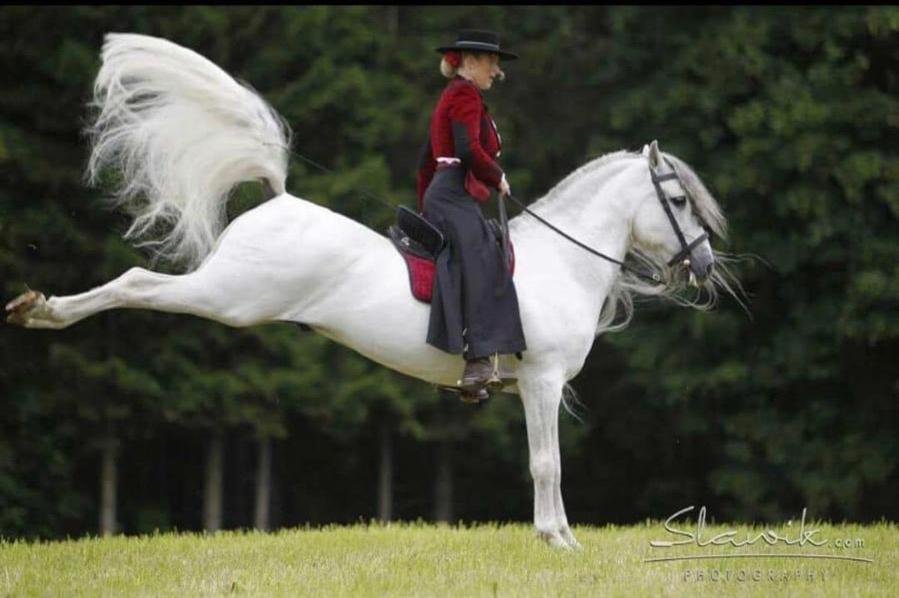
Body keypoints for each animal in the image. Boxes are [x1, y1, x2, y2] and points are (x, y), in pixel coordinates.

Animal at [5, 33, 739, 549]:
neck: (561, 262)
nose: (703, 266)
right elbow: (545, 463)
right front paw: (557, 540)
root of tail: (279, 199)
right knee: (137, 282)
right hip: (229, 295)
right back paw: (41, 312)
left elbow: (546, 463)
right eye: (677, 199)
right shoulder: (540, 380)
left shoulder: (539, 387)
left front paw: (558, 536)